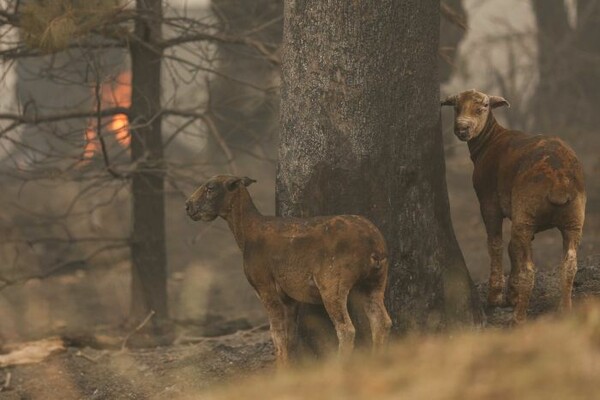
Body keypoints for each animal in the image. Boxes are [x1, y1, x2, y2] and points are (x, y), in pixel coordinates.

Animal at [188, 175, 394, 366]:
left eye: (210, 188)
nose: (188, 206)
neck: (247, 233)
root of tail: (373, 245)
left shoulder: (264, 286)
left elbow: (277, 332)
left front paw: (280, 369)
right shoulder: (290, 297)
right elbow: (291, 335)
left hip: (332, 284)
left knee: (346, 329)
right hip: (375, 281)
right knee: (382, 322)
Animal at [440, 89, 584, 324]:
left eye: (484, 107)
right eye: (456, 107)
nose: (462, 128)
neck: (491, 140)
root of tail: (558, 184)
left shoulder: (488, 200)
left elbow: (496, 244)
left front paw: (496, 297)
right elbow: (512, 247)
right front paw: (512, 294)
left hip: (526, 212)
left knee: (529, 269)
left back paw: (518, 317)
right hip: (573, 217)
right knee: (569, 264)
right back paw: (566, 310)